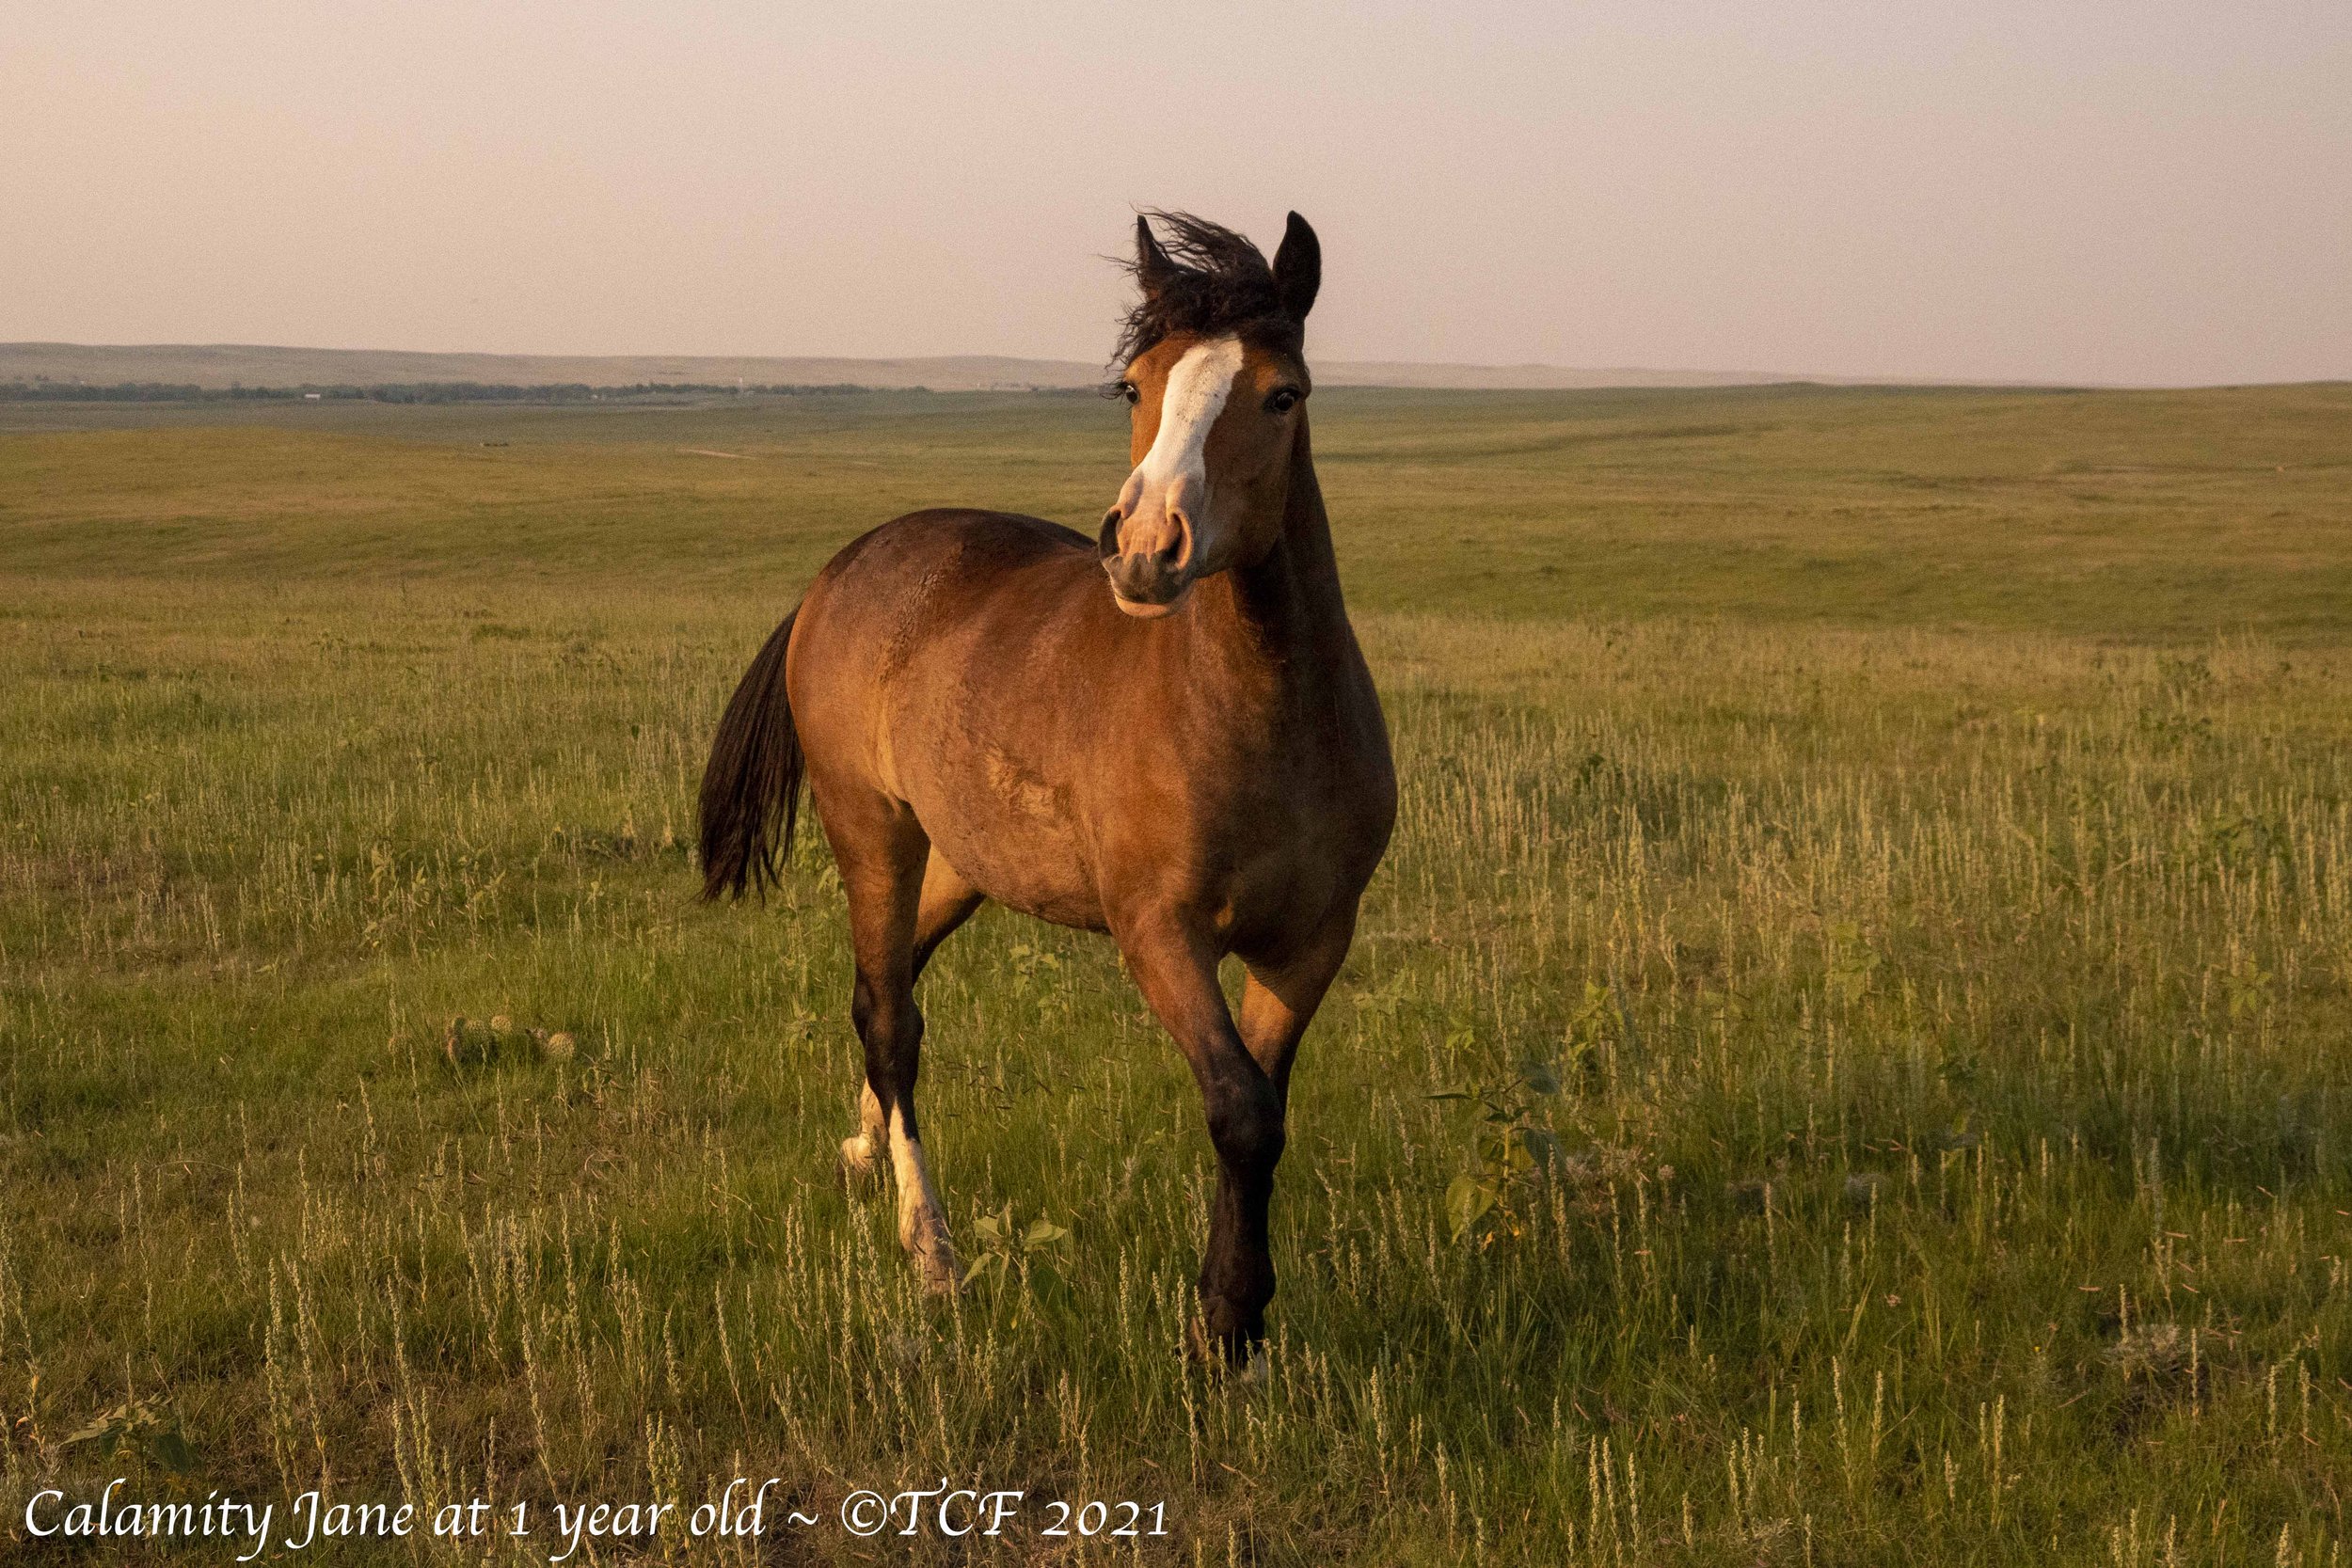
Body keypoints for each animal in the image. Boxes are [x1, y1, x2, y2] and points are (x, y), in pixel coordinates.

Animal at [696, 208, 1392, 1363]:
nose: (1147, 547)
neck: (1262, 718)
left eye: (1282, 393)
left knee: (884, 989)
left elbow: (1264, 1104)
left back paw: (860, 1151)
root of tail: (842, 569)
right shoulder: (1159, 932)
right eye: (1133, 384)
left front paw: (1236, 1312)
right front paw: (1225, 1323)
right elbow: (1239, 1107)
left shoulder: (1310, 943)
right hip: (872, 832)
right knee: (891, 1020)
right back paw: (930, 1251)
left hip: (962, 862)